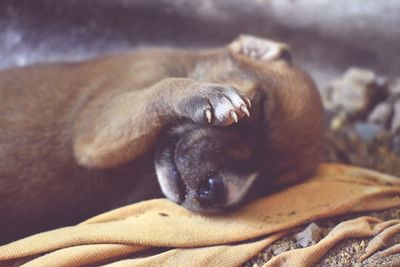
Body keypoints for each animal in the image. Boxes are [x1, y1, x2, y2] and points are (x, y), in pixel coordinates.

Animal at [0, 35, 324, 245]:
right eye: (258, 111)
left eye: (269, 183)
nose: (214, 190)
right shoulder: (94, 130)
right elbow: (162, 88)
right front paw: (204, 93)